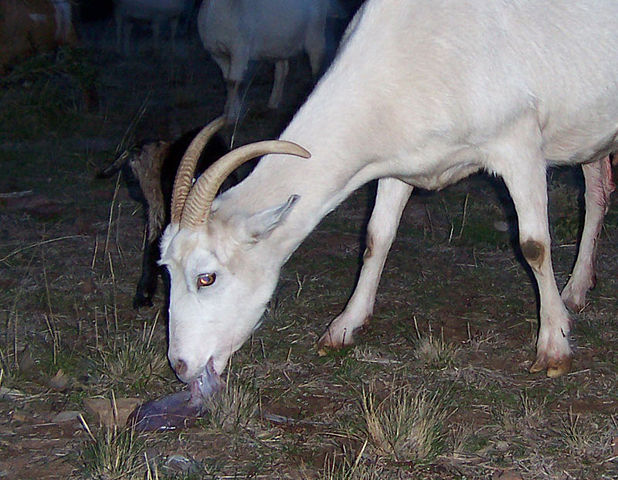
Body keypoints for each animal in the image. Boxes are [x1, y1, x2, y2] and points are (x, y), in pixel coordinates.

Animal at [196, 0, 334, 122]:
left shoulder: (239, 50)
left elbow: (234, 82)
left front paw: (231, 115)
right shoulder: (217, 54)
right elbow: (227, 81)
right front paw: (232, 111)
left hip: (315, 32)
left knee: (317, 63)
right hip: (280, 44)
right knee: (281, 70)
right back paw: (273, 103)